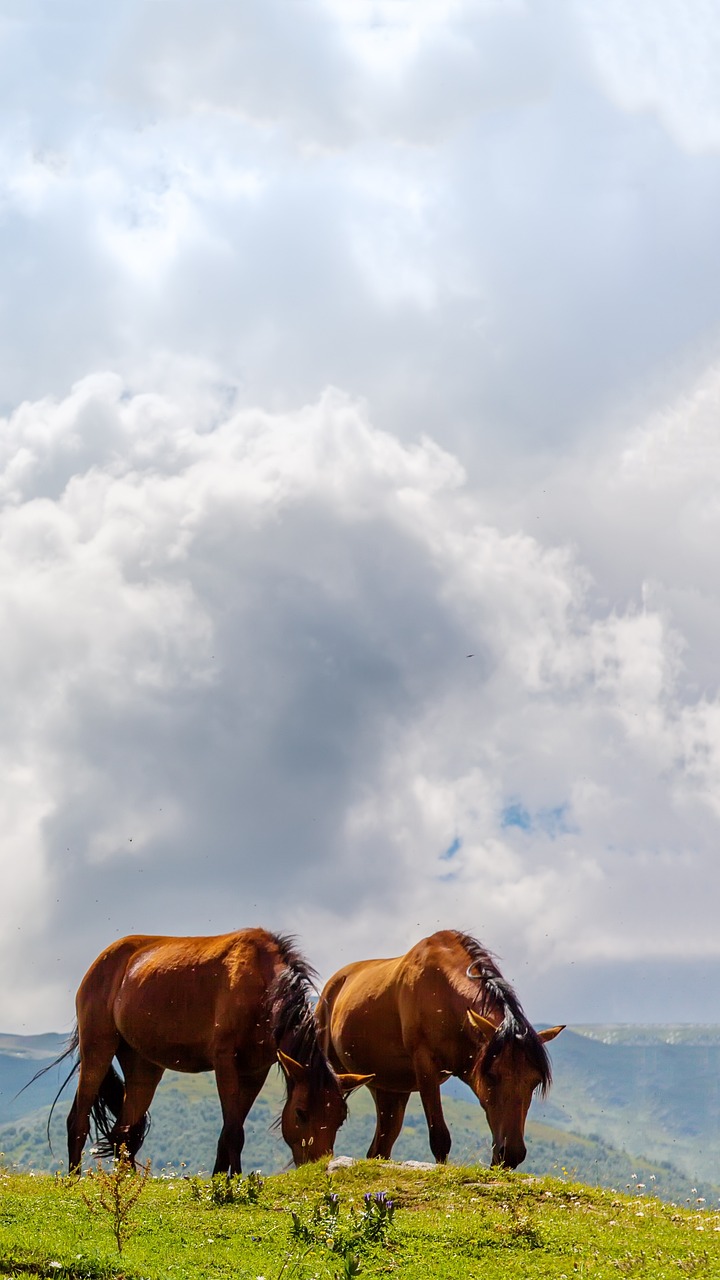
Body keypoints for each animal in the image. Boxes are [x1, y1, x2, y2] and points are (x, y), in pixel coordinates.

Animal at [44, 926, 366, 1172]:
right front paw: (234, 1185)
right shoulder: (225, 1063)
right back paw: (73, 1179)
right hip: (98, 1048)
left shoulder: (254, 1072)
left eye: (340, 1117)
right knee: (78, 1120)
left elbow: (226, 1135)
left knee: (125, 1133)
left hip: (143, 1065)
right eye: (300, 1113)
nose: (318, 1165)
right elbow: (234, 1133)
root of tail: (101, 962)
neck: (262, 987)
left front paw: (220, 1181)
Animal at [316, 931, 563, 1172]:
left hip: (389, 1091)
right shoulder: (425, 1066)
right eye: (492, 1076)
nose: (511, 1154)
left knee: (379, 1149)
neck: (441, 992)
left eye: (534, 1082)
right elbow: (440, 1138)